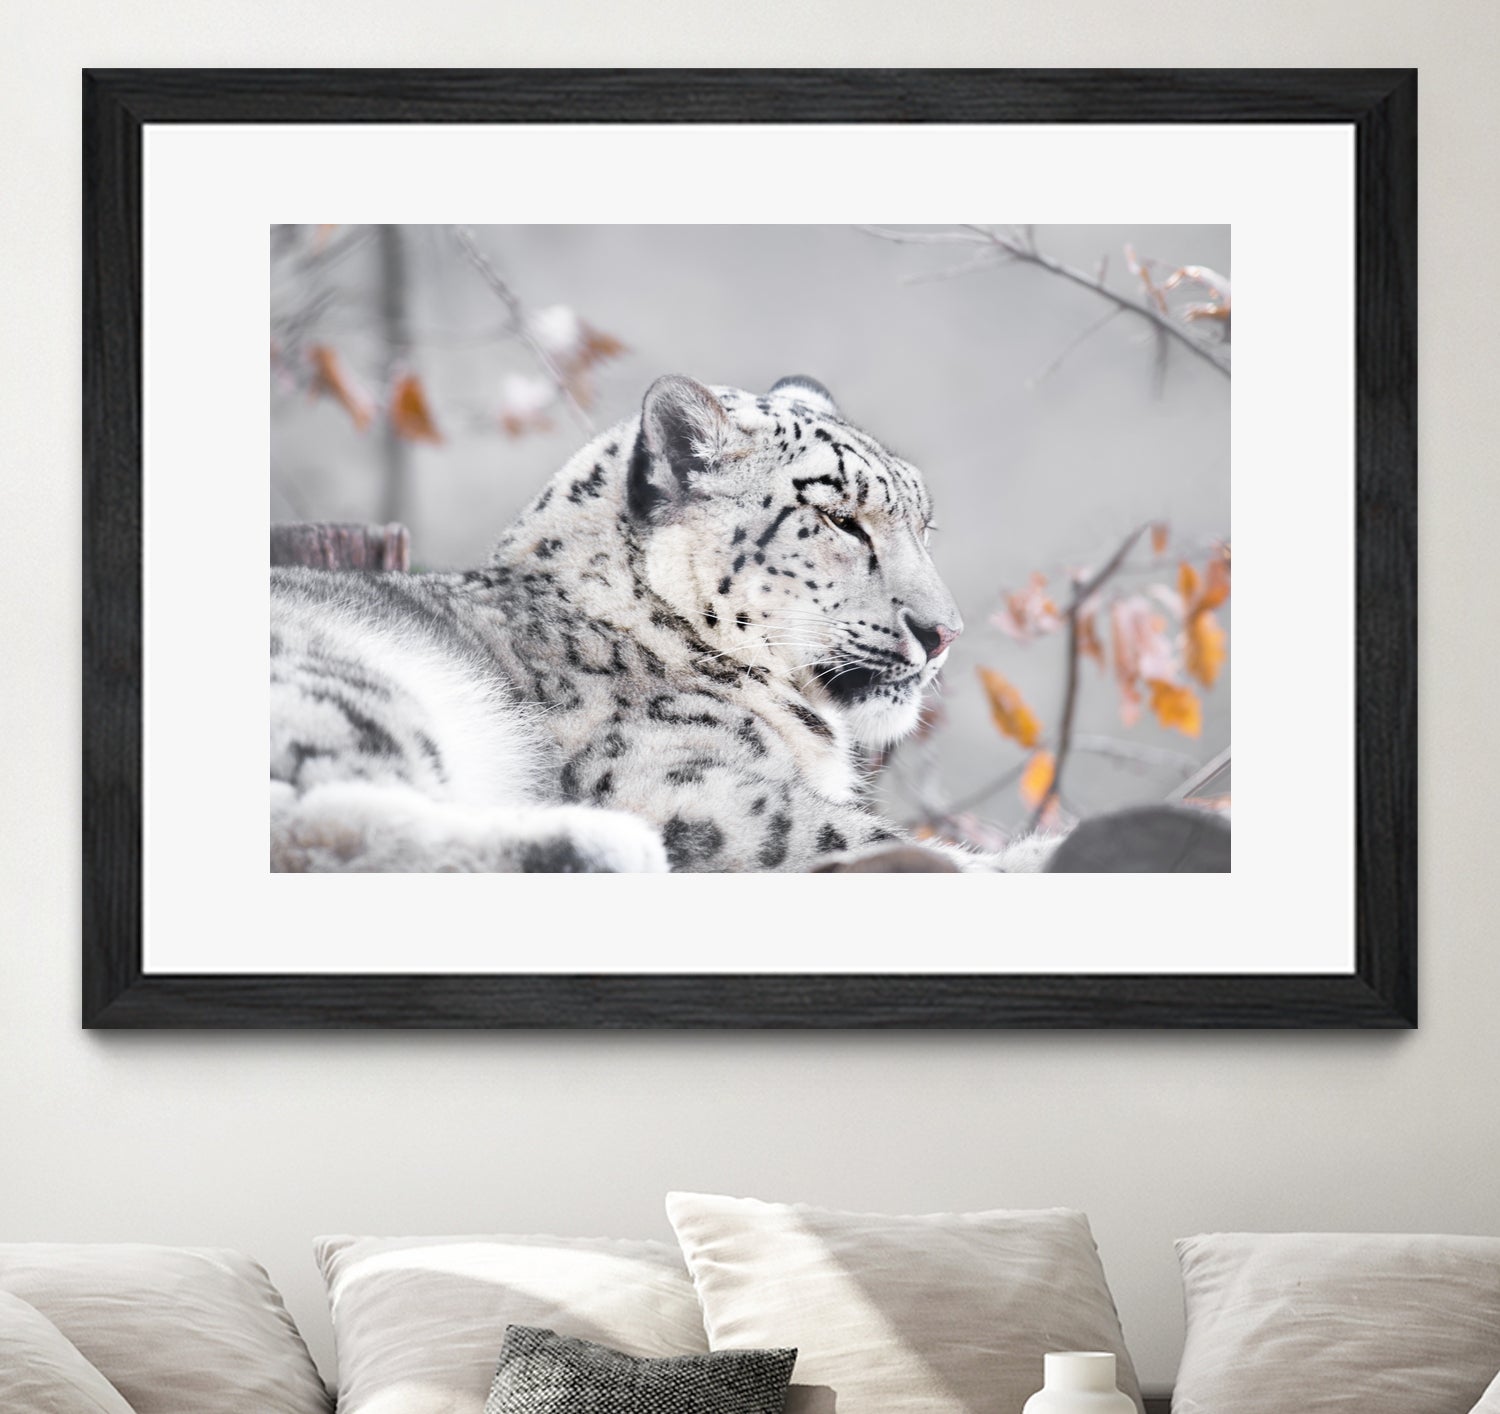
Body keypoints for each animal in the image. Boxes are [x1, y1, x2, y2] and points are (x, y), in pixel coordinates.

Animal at [270, 374, 1056, 873]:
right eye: (839, 517)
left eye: (924, 525)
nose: (942, 632)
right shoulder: (687, 787)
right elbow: (854, 836)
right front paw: (1031, 855)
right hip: (349, 684)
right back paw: (599, 846)